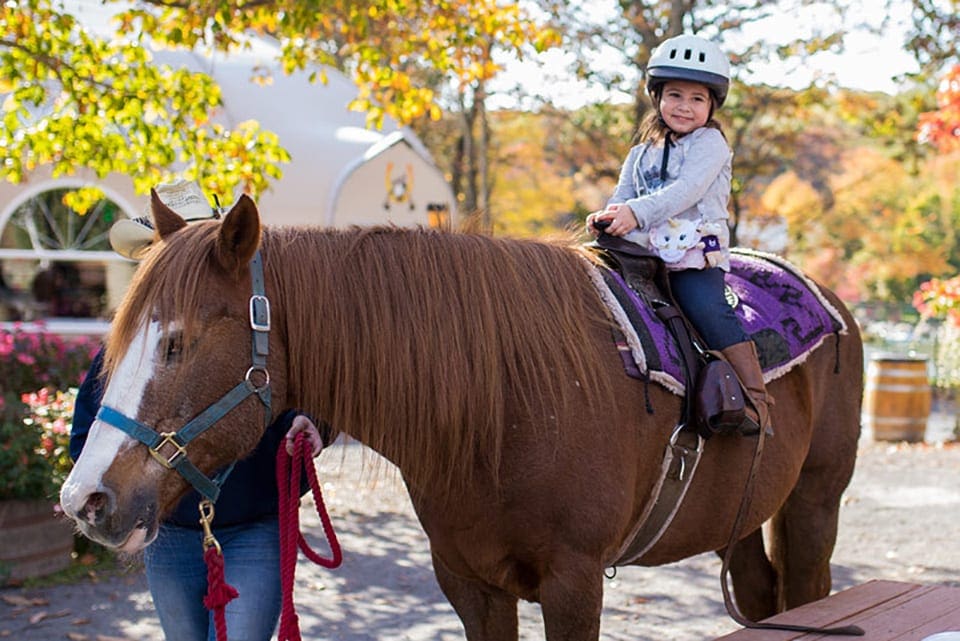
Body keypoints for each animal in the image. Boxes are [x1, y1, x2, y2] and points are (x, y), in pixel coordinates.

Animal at [63, 195, 868, 640]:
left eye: (176, 342)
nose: (83, 499)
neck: (510, 404)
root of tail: (829, 301)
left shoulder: (575, 584)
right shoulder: (470, 583)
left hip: (813, 505)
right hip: (742, 514)